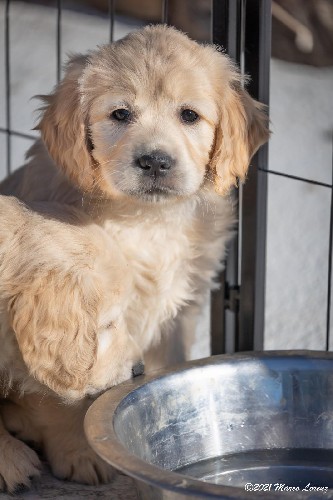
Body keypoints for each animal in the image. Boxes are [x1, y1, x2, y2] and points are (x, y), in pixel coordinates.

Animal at [0, 24, 268, 492]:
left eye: (189, 115)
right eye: (121, 114)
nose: (155, 161)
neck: (147, 220)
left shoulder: (179, 311)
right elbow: (64, 391)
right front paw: (79, 451)